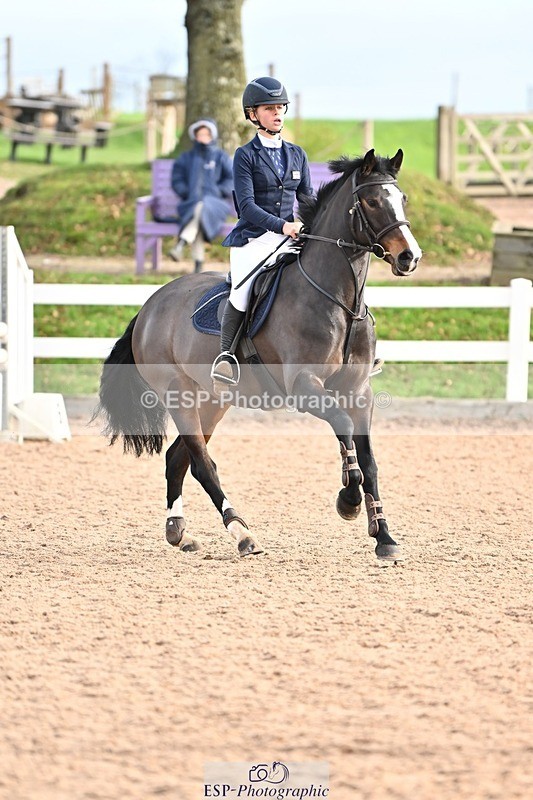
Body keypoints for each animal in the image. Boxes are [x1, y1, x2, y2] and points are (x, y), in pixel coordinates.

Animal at [96, 148, 422, 562]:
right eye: (372, 201)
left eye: (402, 199)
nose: (410, 257)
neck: (341, 303)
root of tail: (150, 306)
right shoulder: (305, 386)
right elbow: (344, 428)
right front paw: (348, 501)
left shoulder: (359, 392)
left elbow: (369, 460)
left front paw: (384, 536)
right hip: (178, 395)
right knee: (202, 464)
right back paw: (242, 533)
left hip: (212, 400)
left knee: (178, 458)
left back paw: (179, 533)